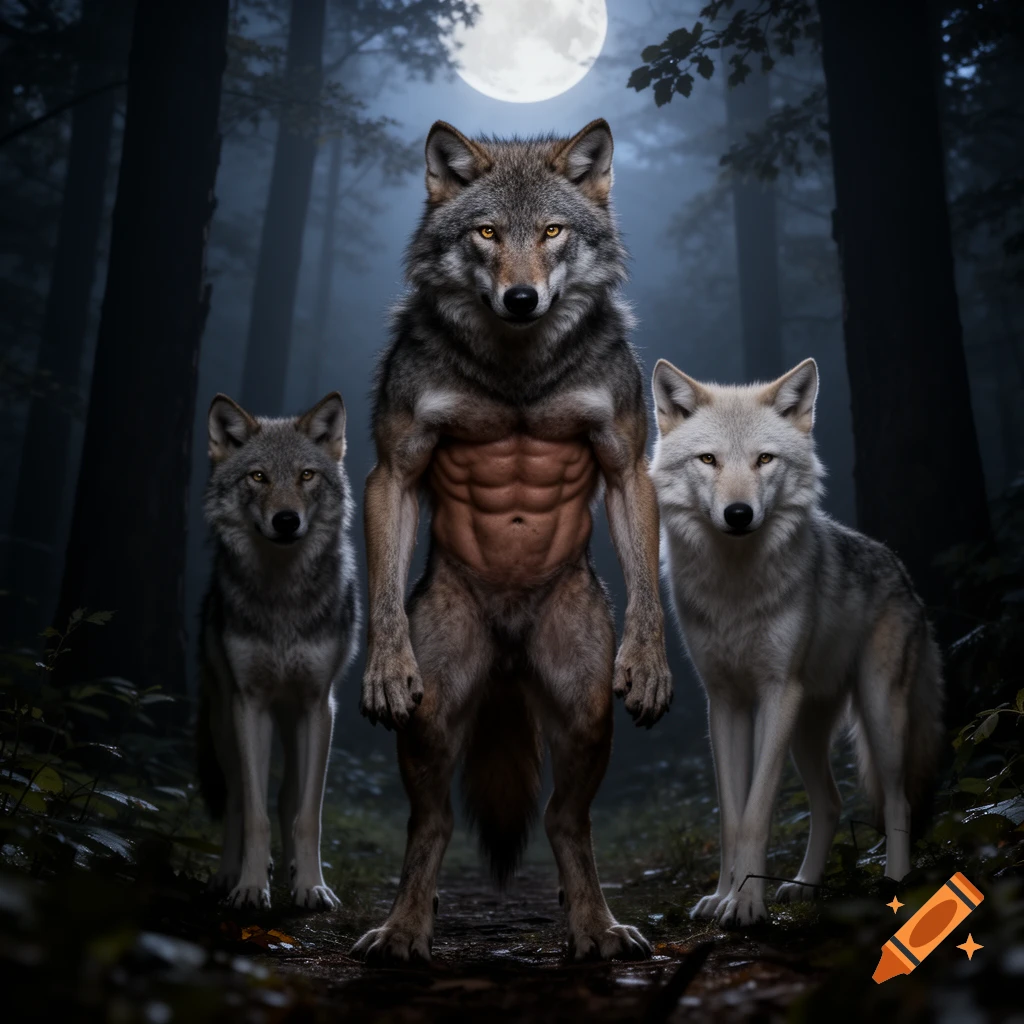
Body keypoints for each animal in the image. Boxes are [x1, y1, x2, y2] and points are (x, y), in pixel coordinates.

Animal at [197, 391, 359, 912]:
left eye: (306, 475)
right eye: (258, 477)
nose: (286, 520)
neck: (282, 598)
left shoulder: (318, 706)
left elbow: (307, 814)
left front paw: (311, 886)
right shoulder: (250, 705)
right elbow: (254, 811)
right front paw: (251, 886)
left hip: (296, 723)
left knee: (289, 796)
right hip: (224, 722)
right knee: (235, 797)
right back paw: (228, 875)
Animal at [351, 119, 673, 963]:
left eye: (553, 231)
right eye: (488, 233)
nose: (521, 298)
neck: (518, 368)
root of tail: (507, 648)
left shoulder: (627, 463)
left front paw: (650, 664)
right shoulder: (394, 468)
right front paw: (383, 666)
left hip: (582, 703)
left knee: (566, 819)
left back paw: (596, 927)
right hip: (438, 709)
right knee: (431, 821)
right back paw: (404, 930)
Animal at [649, 357, 943, 927]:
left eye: (764, 459)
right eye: (708, 460)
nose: (738, 514)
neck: (736, 587)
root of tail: (901, 569)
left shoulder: (776, 692)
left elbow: (757, 811)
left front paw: (745, 905)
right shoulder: (725, 702)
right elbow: (731, 816)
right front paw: (723, 896)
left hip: (878, 716)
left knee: (896, 800)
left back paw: (897, 884)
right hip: (808, 730)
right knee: (830, 803)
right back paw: (804, 886)